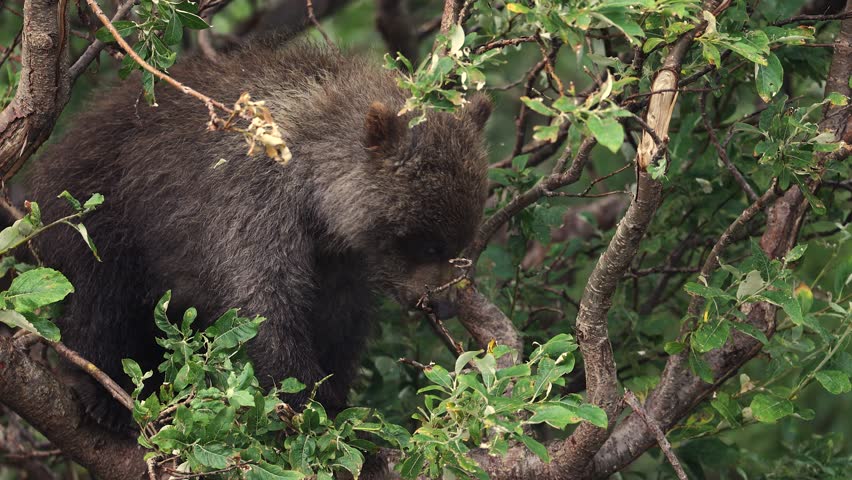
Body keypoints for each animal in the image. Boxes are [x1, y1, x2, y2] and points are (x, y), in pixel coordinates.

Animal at [27, 39, 491, 429]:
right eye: (428, 243)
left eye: (461, 241)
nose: (444, 304)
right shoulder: (253, 204)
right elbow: (265, 303)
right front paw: (309, 408)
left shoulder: (339, 257)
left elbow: (338, 318)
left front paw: (336, 397)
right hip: (98, 214)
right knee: (99, 301)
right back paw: (103, 394)